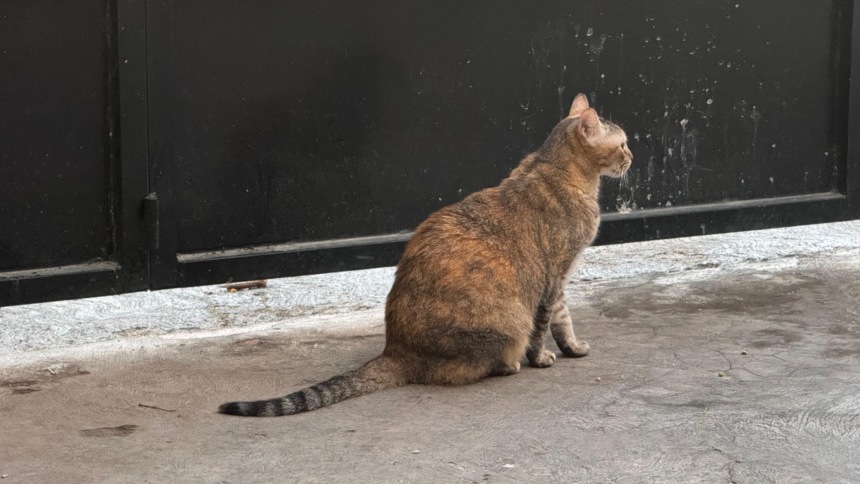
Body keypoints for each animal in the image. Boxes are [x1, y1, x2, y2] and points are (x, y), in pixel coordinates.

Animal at [218, 93, 636, 416]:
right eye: (622, 144)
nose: (632, 156)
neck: (557, 167)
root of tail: (397, 349)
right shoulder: (555, 276)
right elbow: (550, 324)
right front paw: (549, 355)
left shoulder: (558, 279)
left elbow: (562, 319)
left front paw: (571, 349)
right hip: (506, 324)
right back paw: (508, 365)